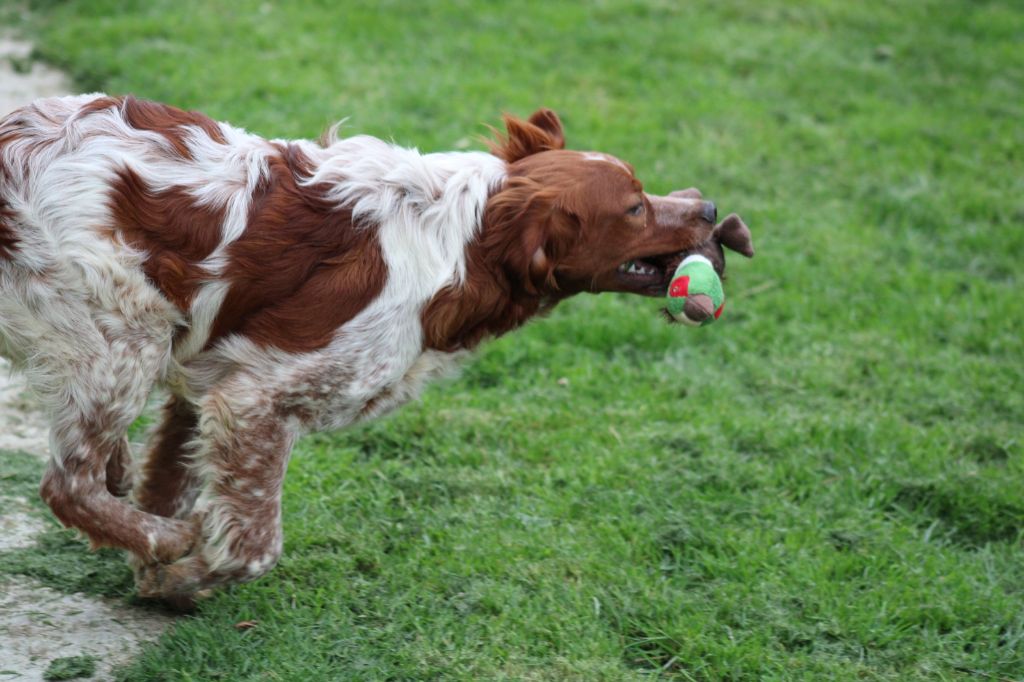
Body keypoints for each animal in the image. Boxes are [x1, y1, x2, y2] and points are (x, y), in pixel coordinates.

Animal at [0, 94, 753, 593]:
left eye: (643, 191)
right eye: (634, 208)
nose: (712, 209)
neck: (465, 247)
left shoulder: (211, 382)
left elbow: (173, 480)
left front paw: (159, 570)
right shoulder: (257, 399)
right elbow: (253, 545)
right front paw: (185, 564)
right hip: (122, 339)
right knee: (66, 485)